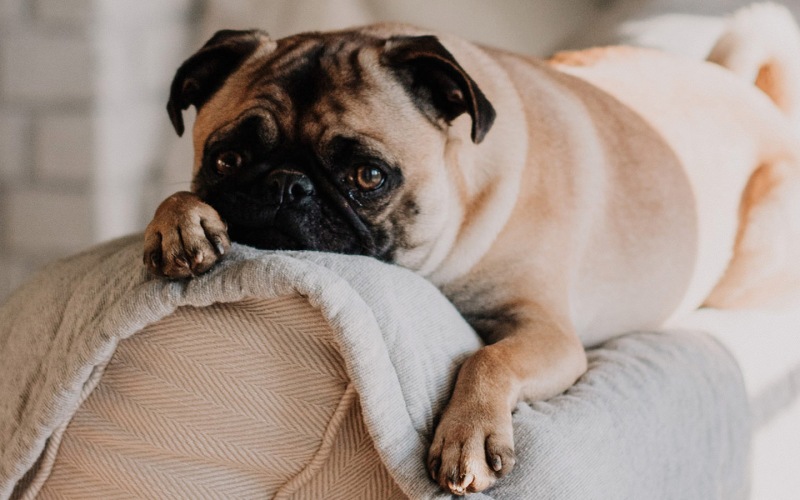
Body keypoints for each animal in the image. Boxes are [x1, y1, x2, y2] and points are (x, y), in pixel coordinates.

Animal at [142, 4, 800, 496]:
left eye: (368, 176)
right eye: (227, 159)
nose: (286, 186)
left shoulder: (548, 333)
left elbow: (488, 359)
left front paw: (470, 437)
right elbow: (177, 198)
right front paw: (179, 222)